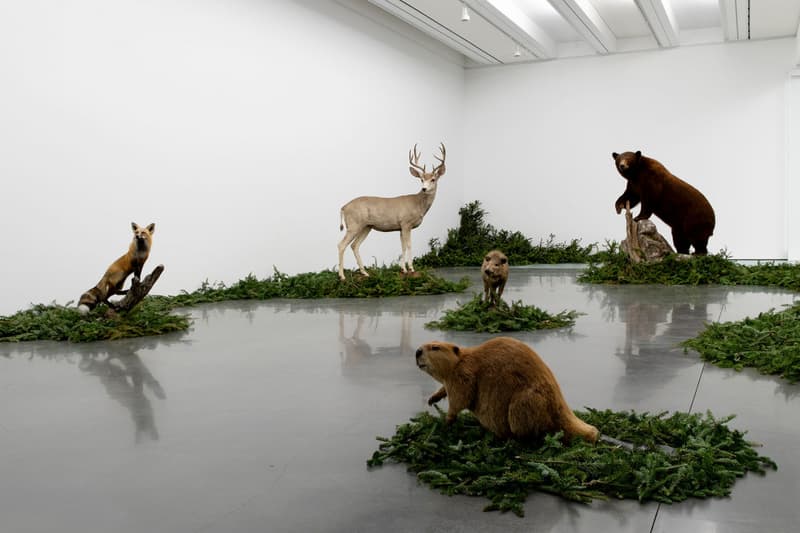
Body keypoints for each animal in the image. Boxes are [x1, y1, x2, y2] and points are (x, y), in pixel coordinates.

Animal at [338, 143, 446, 281]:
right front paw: (411, 268)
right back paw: (342, 276)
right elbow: (409, 245)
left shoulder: (400, 227)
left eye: (433, 179)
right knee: (341, 245)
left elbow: (403, 246)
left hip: (366, 226)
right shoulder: (406, 223)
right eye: (421, 179)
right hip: (353, 225)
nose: (424, 188)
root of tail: (343, 207)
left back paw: (365, 273)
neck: (418, 204)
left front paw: (403, 269)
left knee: (354, 245)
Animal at [415, 336, 599, 443]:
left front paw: (447, 420)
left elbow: (461, 398)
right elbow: (445, 390)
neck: (462, 360)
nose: (417, 351)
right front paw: (432, 399)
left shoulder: (464, 375)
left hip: (524, 402)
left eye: (435, 347)